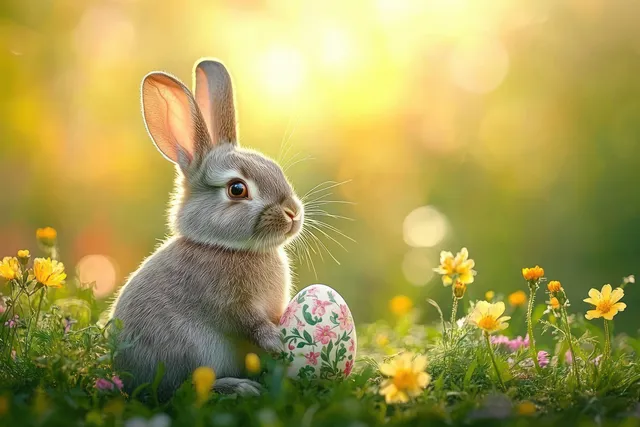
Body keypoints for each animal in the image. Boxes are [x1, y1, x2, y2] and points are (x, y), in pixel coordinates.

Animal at [109, 58, 304, 399]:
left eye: (276, 170)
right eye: (237, 189)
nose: (292, 213)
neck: (224, 247)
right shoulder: (232, 305)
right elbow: (251, 323)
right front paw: (278, 343)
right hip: (188, 351)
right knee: (183, 389)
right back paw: (239, 387)